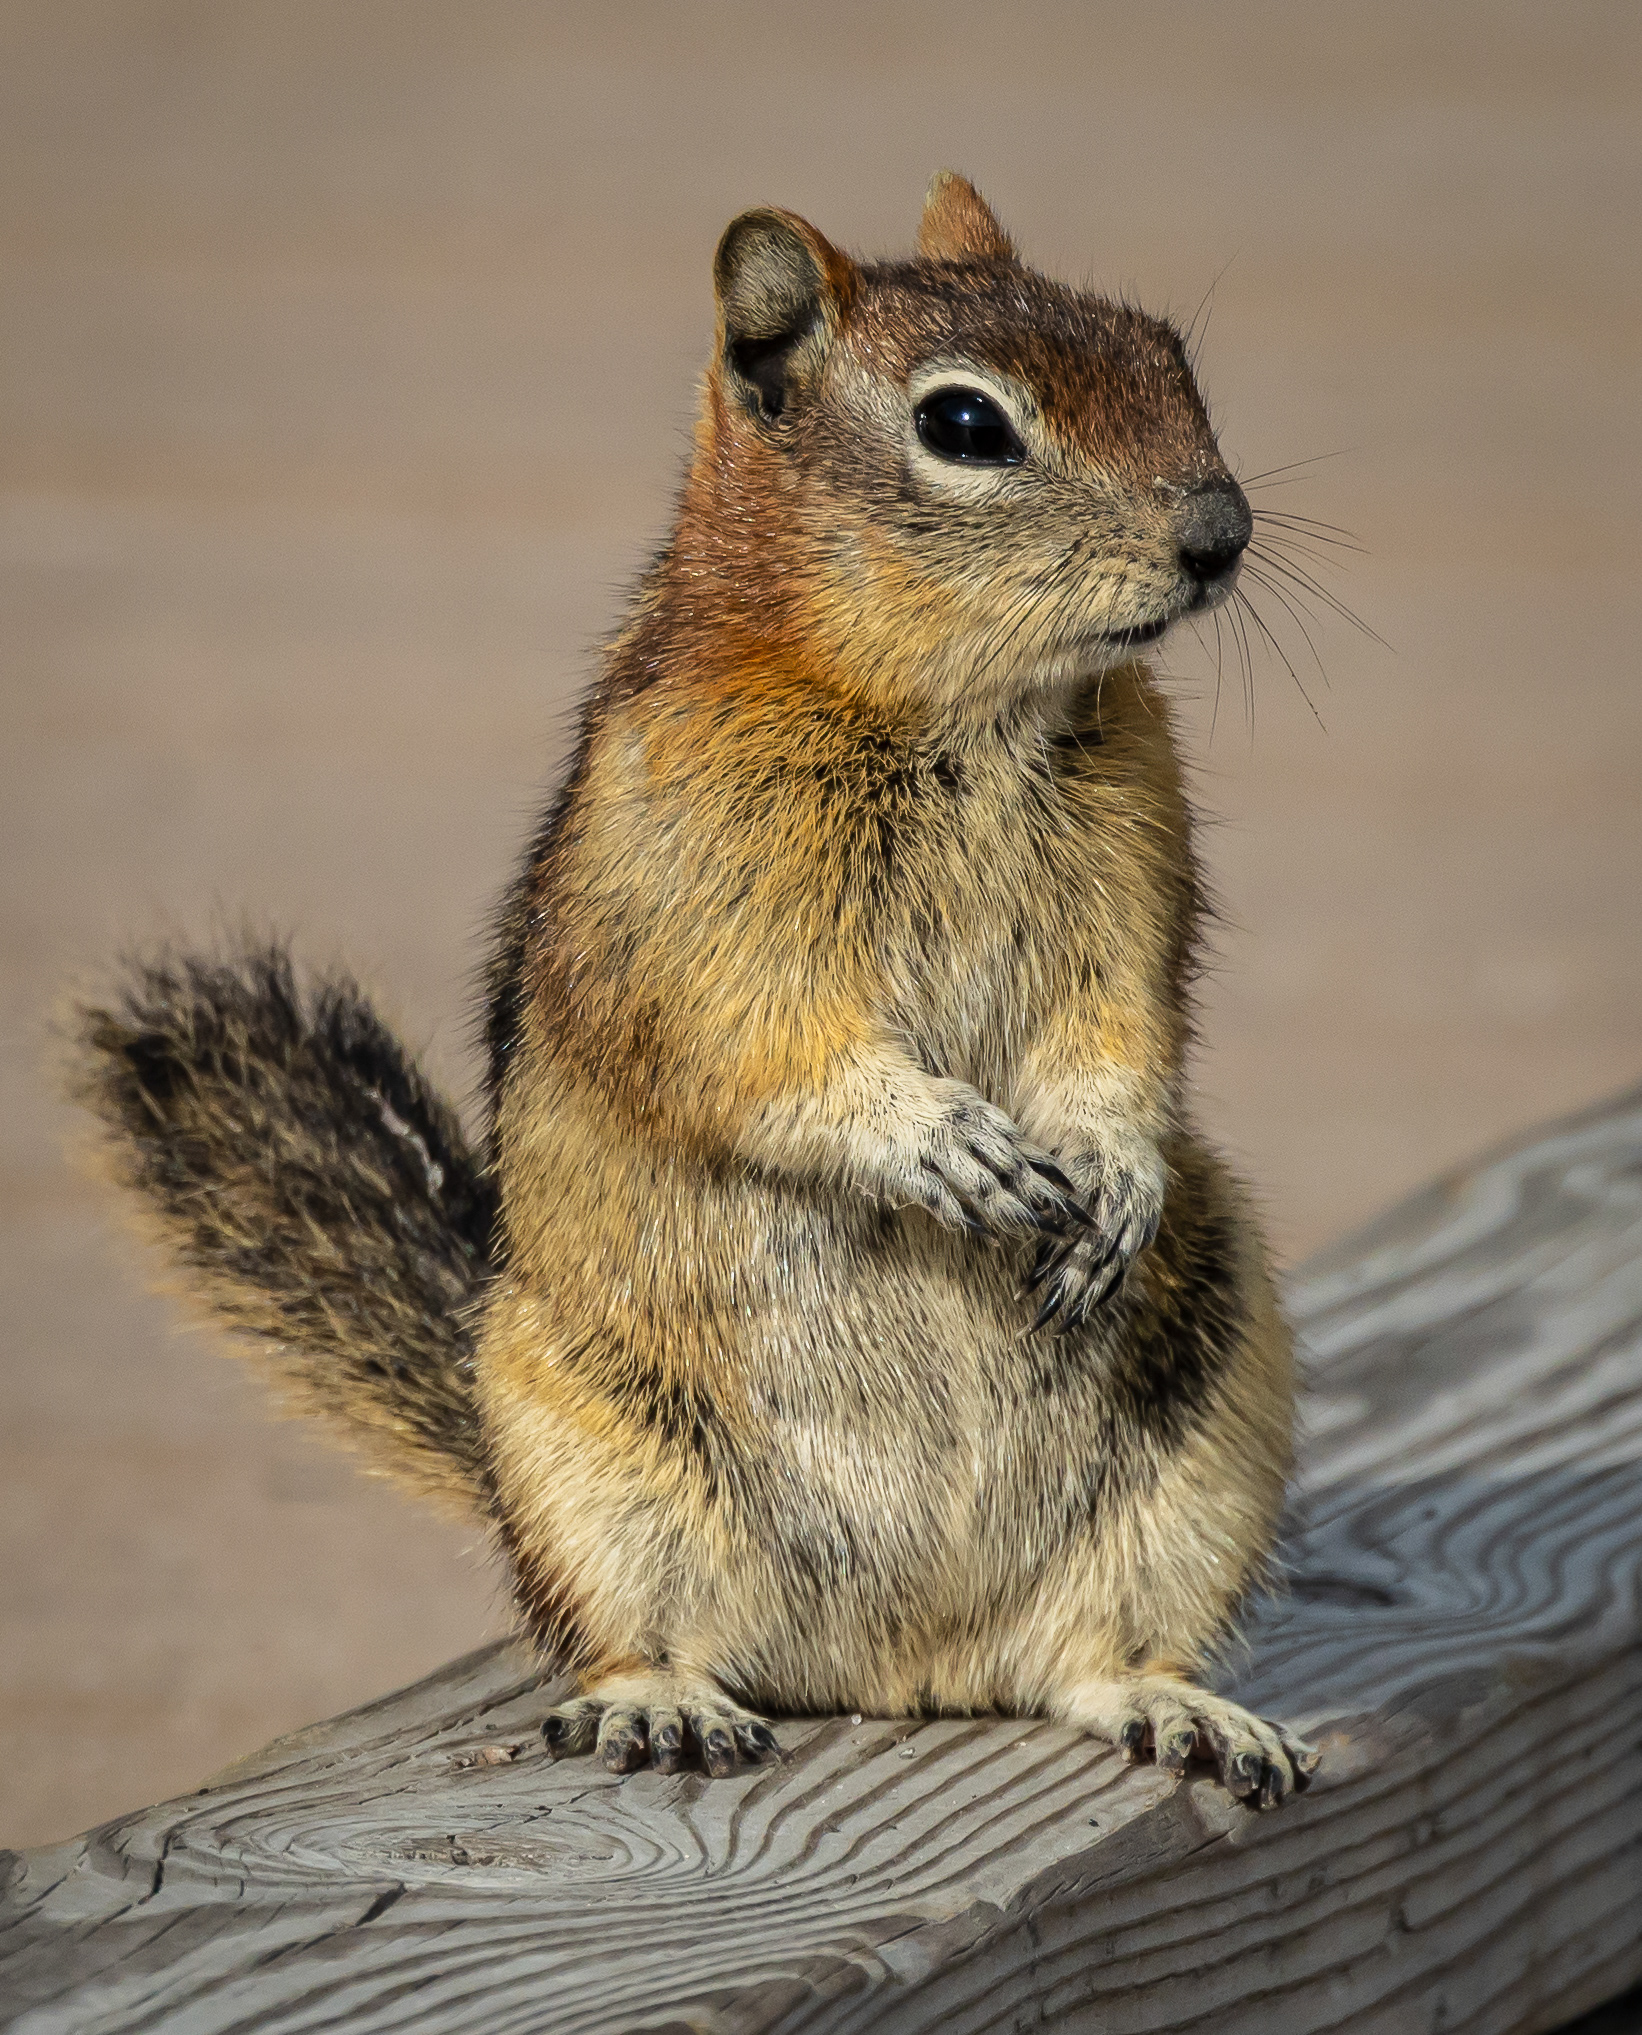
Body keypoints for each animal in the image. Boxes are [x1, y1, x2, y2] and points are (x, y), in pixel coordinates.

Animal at [73, 173, 1316, 1807]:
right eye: (965, 425)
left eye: (1166, 349)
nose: (1218, 533)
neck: (963, 713)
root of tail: (901, 1667)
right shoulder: (693, 897)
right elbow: (757, 1047)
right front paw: (941, 1142)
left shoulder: (1133, 868)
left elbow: (1126, 1031)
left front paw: (1107, 1168)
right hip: (590, 1465)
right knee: (629, 1634)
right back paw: (659, 1697)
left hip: (1206, 1413)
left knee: (1093, 1655)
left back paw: (1181, 1706)